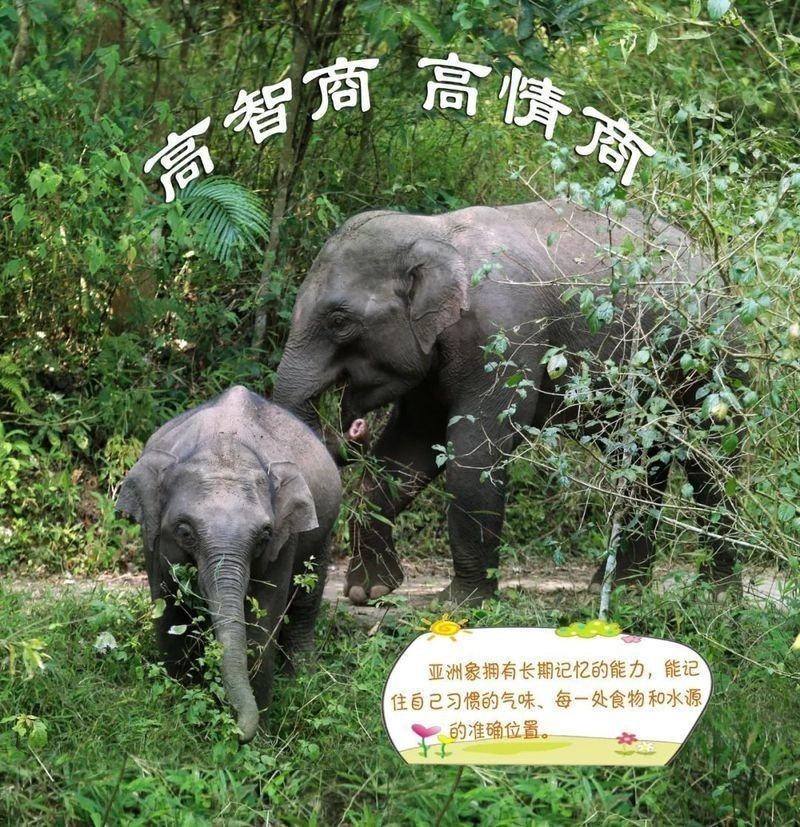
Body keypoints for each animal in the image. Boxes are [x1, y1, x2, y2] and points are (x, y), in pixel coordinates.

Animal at [116, 385, 341, 741]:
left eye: (265, 535)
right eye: (184, 531)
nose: (231, 727)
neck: (224, 444)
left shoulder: (284, 541)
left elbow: (263, 621)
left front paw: (260, 737)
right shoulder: (152, 540)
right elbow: (168, 611)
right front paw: (180, 710)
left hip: (322, 530)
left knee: (307, 595)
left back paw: (304, 676)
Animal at [273, 199, 739, 606]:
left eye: (339, 321)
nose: (352, 424)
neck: (435, 233)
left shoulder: (505, 334)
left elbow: (474, 454)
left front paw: (460, 604)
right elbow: (404, 454)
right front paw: (367, 592)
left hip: (713, 353)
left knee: (710, 458)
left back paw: (716, 593)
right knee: (642, 458)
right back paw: (618, 588)